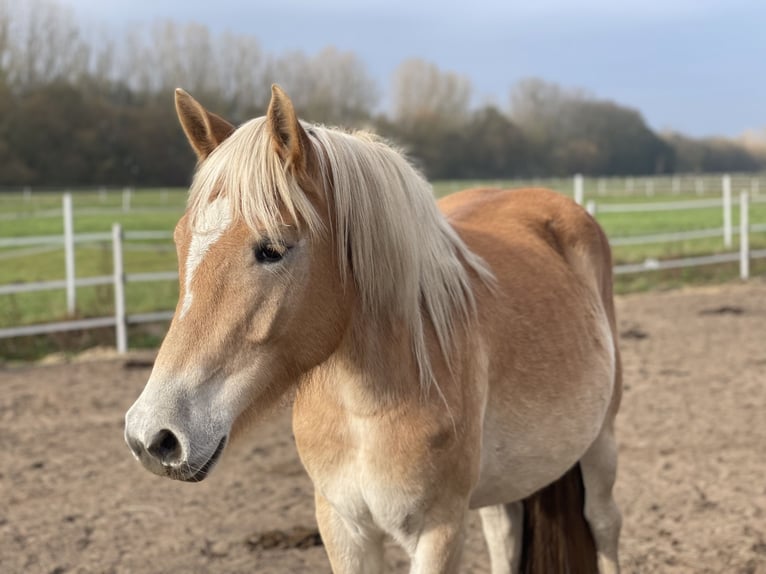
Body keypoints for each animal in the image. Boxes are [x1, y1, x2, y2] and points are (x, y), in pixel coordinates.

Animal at [123, 85, 620, 574]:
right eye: (180, 241)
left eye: (272, 249)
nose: (152, 436)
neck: (364, 409)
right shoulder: (342, 526)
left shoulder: (439, 532)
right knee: (504, 535)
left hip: (600, 443)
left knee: (603, 525)